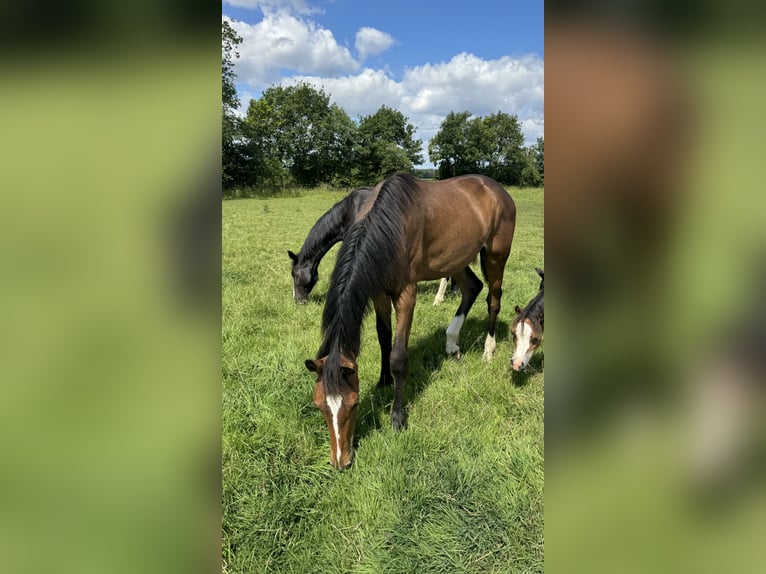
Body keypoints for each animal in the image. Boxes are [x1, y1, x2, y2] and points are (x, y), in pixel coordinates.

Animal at [304, 173, 516, 470]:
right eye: (319, 405)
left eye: (355, 403)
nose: (340, 461)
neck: (389, 226)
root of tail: (497, 189)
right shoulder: (379, 291)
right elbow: (383, 337)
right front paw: (383, 380)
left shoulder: (406, 294)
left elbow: (398, 357)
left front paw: (397, 417)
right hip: (457, 259)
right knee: (471, 287)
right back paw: (451, 344)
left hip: (496, 255)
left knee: (493, 300)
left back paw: (488, 349)